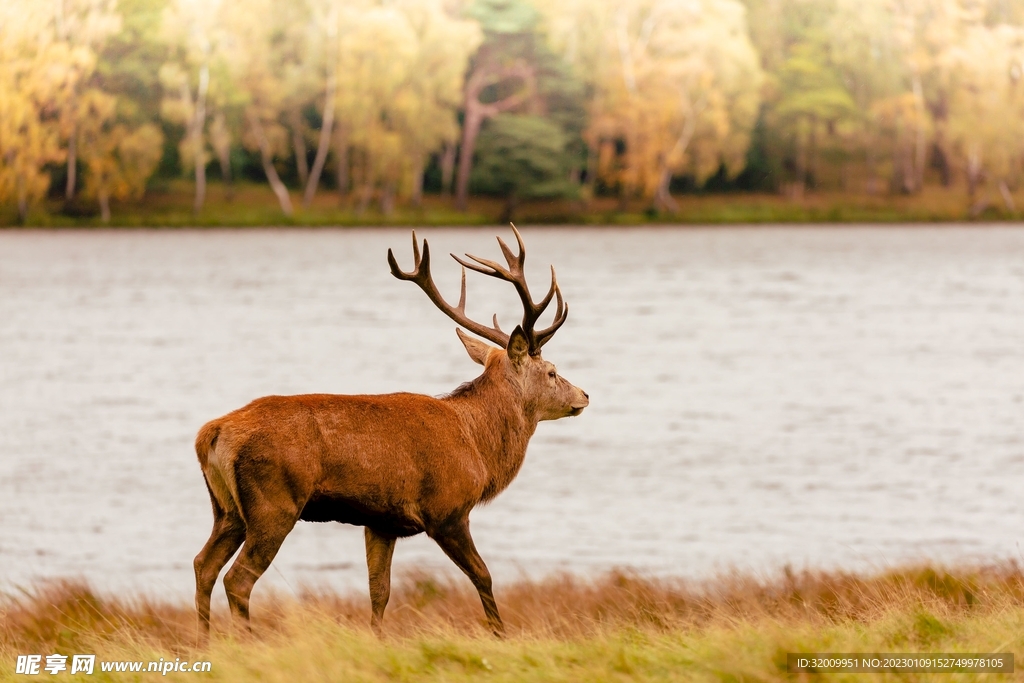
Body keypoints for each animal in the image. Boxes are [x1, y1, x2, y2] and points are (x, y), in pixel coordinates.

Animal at [192, 225, 589, 642]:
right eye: (552, 371)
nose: (584, 395)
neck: (478, 446)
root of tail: (211, 433)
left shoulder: (382, 522)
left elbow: (379, 591)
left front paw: (378, 640)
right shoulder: (447, 509)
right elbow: (483, 575)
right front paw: (500, 635)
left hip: (227, 509)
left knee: (203, 565)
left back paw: (204, 644)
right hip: (274, 503)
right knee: (237, 578)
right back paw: (246, 643)